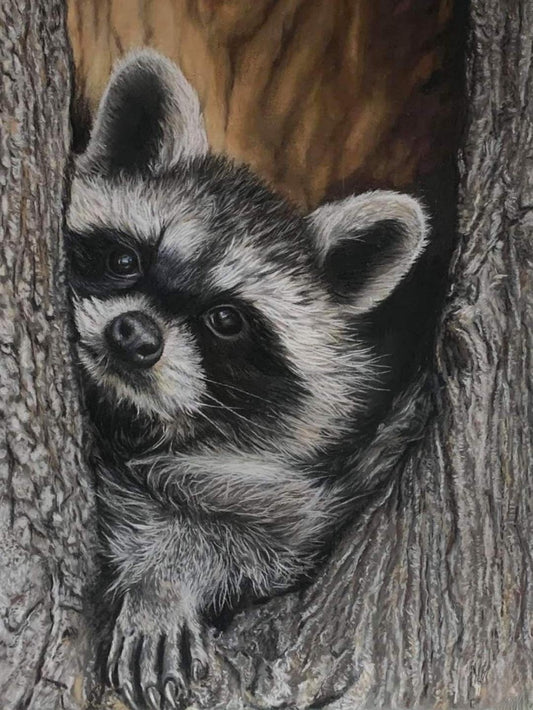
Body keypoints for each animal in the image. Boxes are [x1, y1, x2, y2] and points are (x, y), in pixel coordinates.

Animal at [66, 50, 428, 710]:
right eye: (125, 259)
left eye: (226, 320)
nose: (133, 336)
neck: (128, 415)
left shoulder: (291, 494)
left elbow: (259, 546)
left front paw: (166, 578)